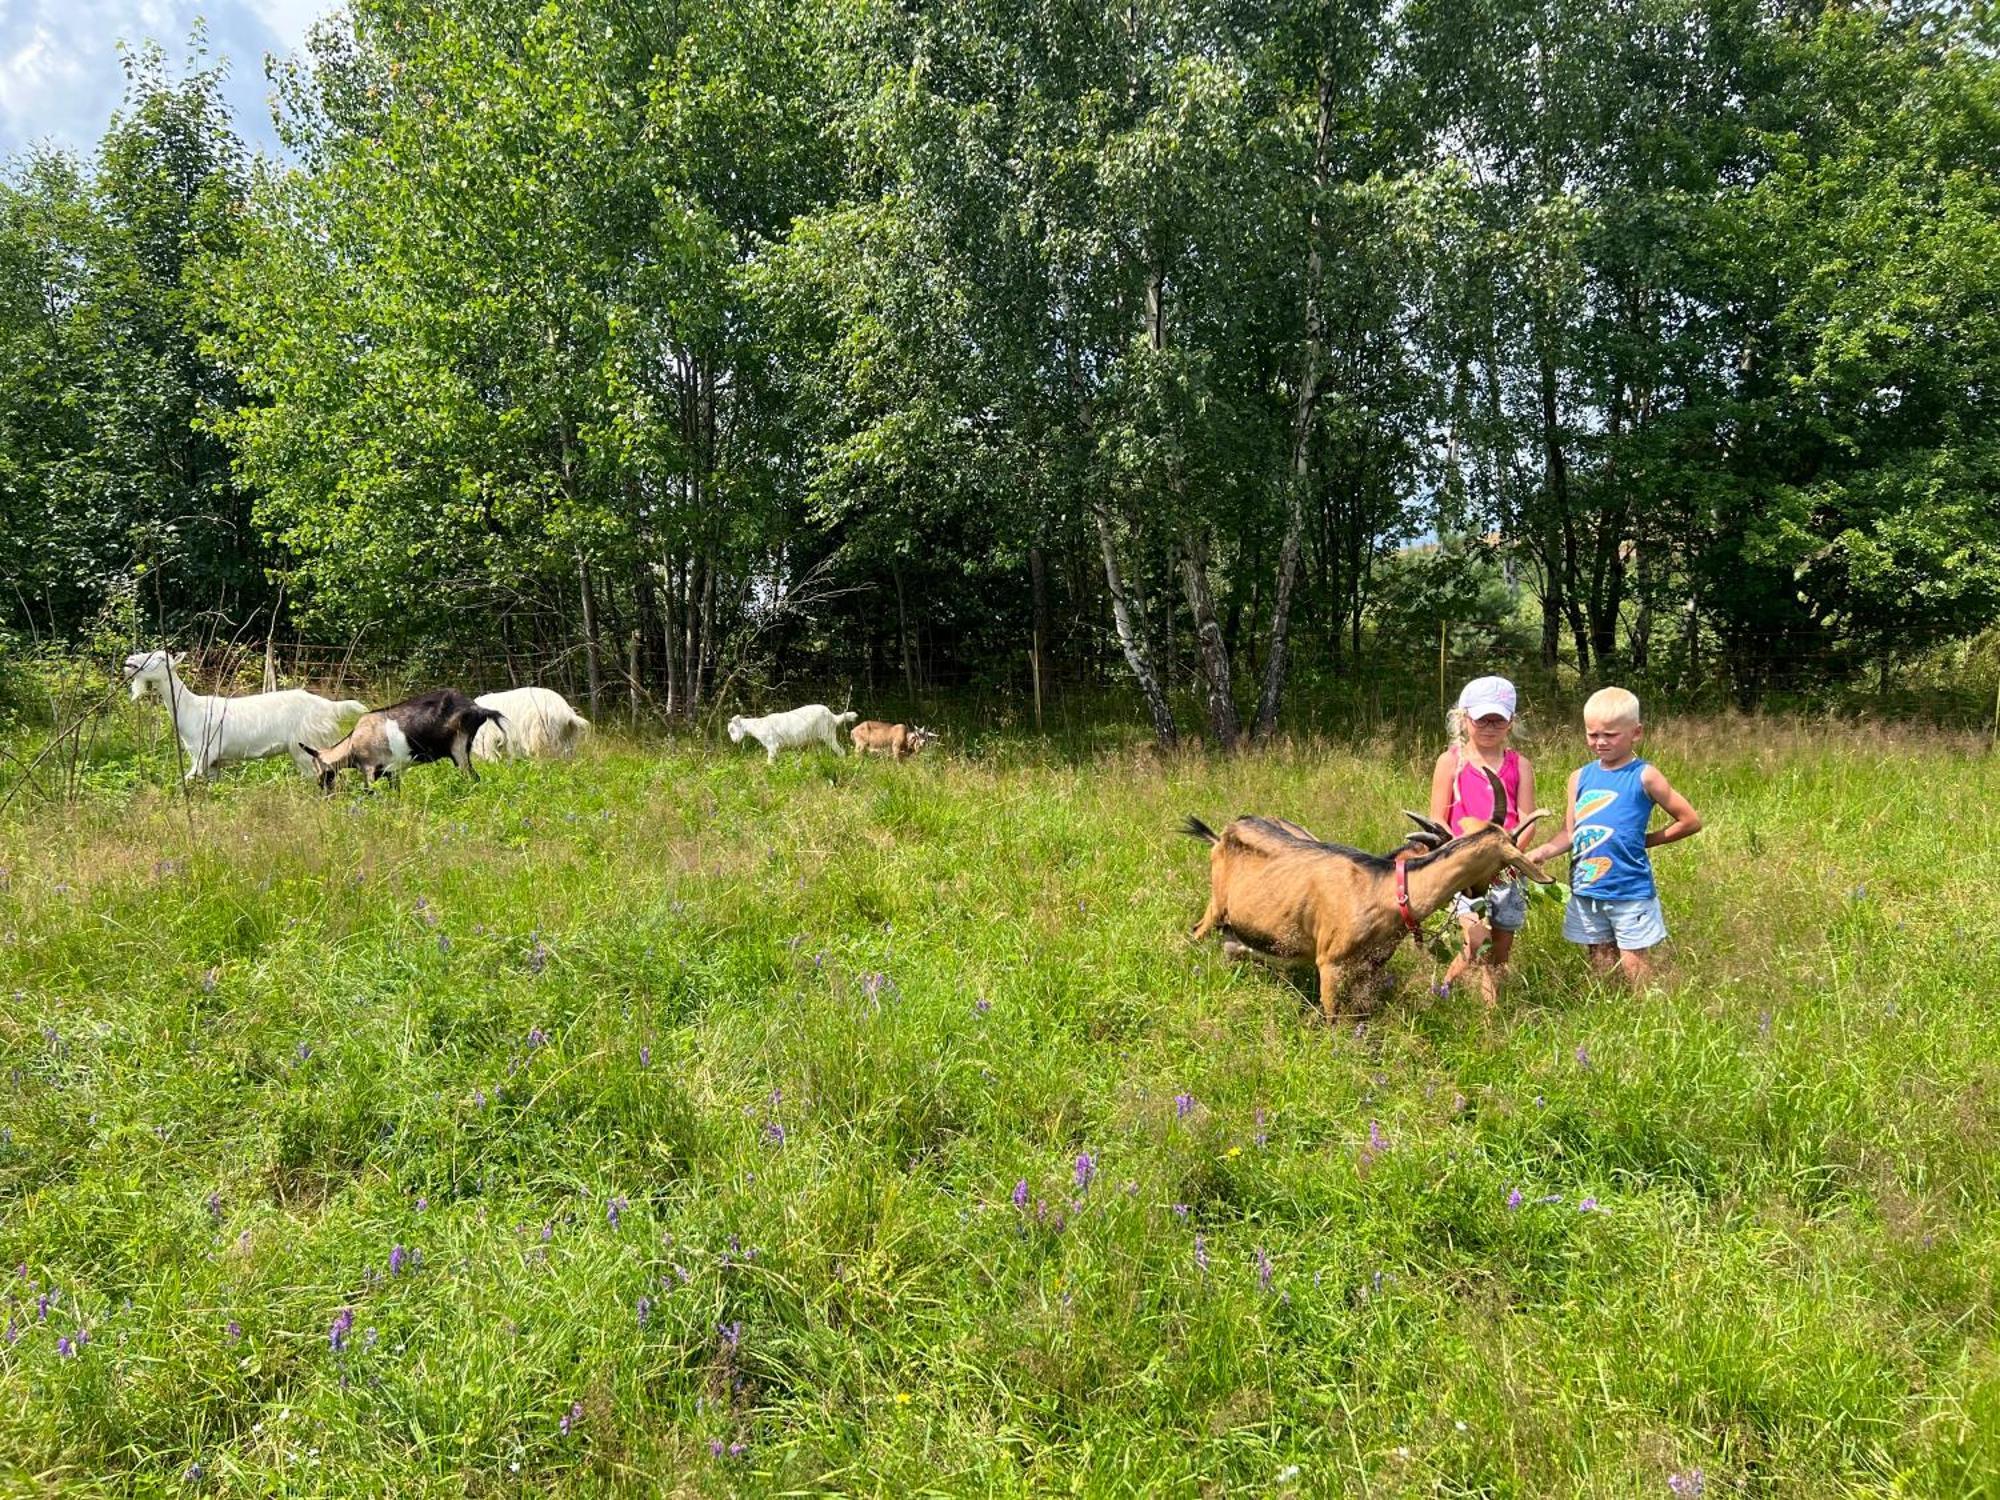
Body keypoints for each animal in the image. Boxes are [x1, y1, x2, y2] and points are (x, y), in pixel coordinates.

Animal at [127, 648, 370, 788]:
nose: (130, 661)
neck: (191, 710)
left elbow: (183, 781)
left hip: (307, 746)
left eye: (160, 658)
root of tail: (329, 706)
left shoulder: (204, 754)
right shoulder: (213, 762)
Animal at [1176, 768, 1552, 1032]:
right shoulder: (1330, 963)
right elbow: (1334, 1021)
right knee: (1196, 932)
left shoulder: (1371, 967)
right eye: (1503, 861)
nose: (1476, 892)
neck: (1384, 888)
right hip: (1216, 906)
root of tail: (1221, 834)